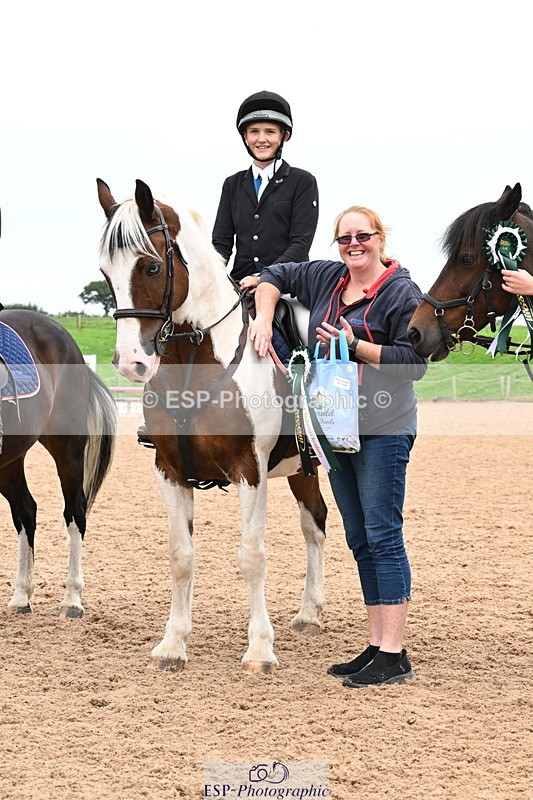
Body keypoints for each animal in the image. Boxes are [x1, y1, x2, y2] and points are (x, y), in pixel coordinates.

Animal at [0, 309, 117, 617]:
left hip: (68, 450)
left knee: (75, 513)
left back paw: (72, 600)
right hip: (10, 460)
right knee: (25, 511)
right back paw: (21, 596)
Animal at [97, 178, 327, 673]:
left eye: (150, 267)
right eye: (105, 272)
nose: (131, 363)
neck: (193, 362)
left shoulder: (249, 472)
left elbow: (252, 556)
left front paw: (259, 649)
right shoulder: (169, 471)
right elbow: (181, 556)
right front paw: (173, 644)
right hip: (302, 468)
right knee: (313, 523)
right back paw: (309, 612)